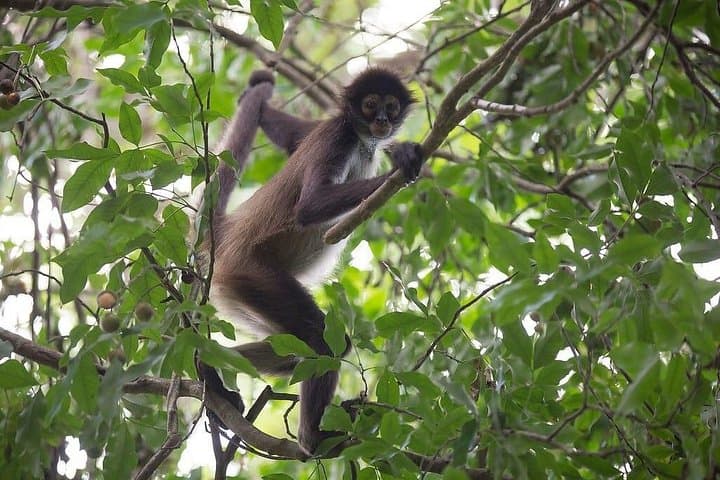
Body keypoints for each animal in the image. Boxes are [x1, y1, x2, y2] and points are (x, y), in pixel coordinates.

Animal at [205, 67, 423, 454]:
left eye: (392, 106)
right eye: (371, 105)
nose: (383, 121)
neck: (361, 139)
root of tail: (227, 234)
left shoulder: (324, 130)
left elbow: (290, 134)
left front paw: (258, 90)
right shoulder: (338, 135)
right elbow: (310, 205)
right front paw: (402, 162)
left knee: (295, 349)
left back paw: (207, 370)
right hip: (253, 275)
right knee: (319, 339)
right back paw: (312, 439)